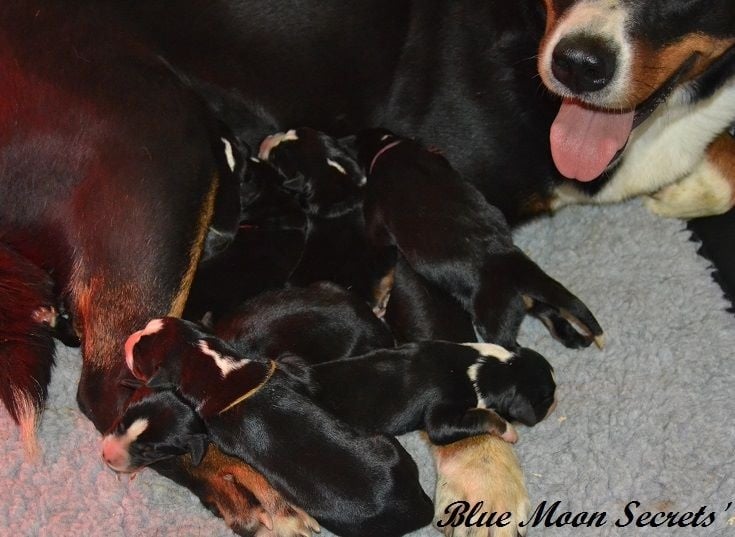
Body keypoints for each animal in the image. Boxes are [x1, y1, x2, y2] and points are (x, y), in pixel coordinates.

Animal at [356, 128, 604, 350]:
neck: (390, 147)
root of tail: (515, 265)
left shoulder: (376, 222)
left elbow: (380, 266)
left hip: (494, 322)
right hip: (537, 300)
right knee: (553, 317)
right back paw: (578, 339)